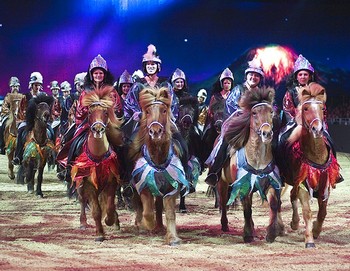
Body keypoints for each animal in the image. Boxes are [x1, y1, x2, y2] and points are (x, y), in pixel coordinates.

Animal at [70, 86, 124, 242]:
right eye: (89, 112)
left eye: (106, 112)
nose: (98, 129)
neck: (98, 157)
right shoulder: (88, 184)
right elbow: (96, 211)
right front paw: (100, 233)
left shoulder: (112, 182)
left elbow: (110, 205)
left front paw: (111, 220)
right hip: (79, 183)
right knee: (82, 200)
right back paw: (83, 223)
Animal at [129, 86, 189, 246]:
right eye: (148, 111)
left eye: (163, 110)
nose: (155, 131)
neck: (158, 162)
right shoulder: (143, 185)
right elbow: (147, 211)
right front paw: (146, 224)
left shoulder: (173, 187)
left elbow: (169, 212)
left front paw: (173, 237)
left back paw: (160, 227)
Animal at [216, 88, 284, 244]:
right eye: (254, 113)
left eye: (271, 111)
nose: (267, 133)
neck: (258, 160)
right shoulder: (243, 185)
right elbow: (247, 210)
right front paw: (247, 235)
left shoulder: (269, 183)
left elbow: (273, 205)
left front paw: (271, 233)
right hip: (222, 183)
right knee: (223, 202)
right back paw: (225, 225)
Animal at [276, 83, 340, 249]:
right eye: (305, 108)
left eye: (323, 108)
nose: (317, 129)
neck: (315, 154)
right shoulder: (304, 183)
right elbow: (307, 211)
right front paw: (309, 240)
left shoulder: (324, 182)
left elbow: (322, 211)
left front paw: (316, 230)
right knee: (278, 201)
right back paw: (281, 227)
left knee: (292, 196)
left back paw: (294, 223)